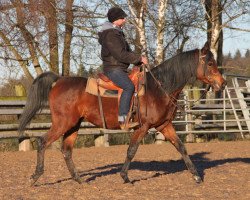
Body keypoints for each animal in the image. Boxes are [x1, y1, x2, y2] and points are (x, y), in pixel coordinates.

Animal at [18, 42, 226, 184]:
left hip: (73, 125)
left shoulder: (164, 125)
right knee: (42, 142)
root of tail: (59, 80)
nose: (222, 83)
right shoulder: (143, 127)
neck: (158, 89)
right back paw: (35, 176)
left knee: (66, 150)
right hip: (63, 123)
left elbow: (181, 147)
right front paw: (125, 176)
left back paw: (78, 179)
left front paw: (196, 176)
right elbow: (131, 150)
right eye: (209, 63)